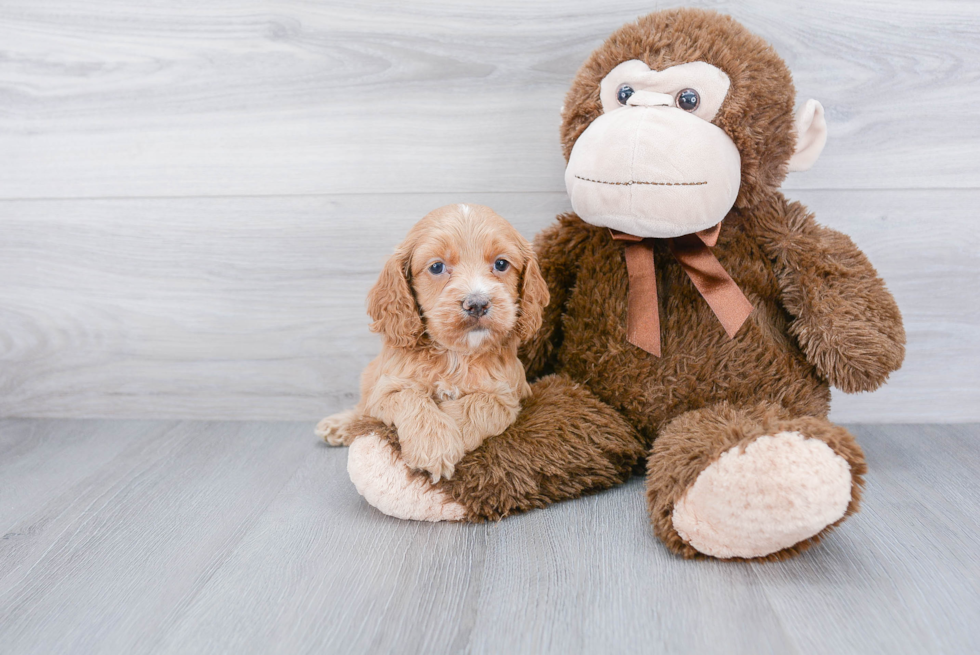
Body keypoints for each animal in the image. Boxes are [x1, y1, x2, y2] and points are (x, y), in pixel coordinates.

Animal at [316, 204, 548, 482]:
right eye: (437, 267)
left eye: (501, 264)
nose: (477, 303)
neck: (456, 354)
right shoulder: (387, 388)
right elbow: (411, 397)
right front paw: (434, 445)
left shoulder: (510, 394)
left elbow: (479, 404)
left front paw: (452, 433)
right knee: (362, 407)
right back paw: (339, 424)